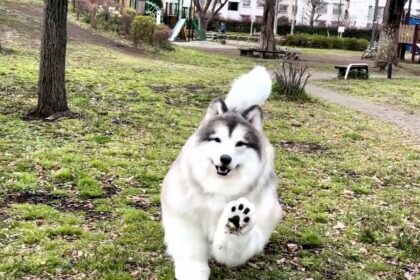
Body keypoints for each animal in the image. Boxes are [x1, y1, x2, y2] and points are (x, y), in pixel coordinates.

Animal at [161, 66, 282, 280]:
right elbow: (191, 250)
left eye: (240, 143)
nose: (225, 159)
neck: (220, 186)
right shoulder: (186, 215)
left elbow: (233, 246)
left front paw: (236, 222)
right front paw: (193, 272)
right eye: (217, 139)